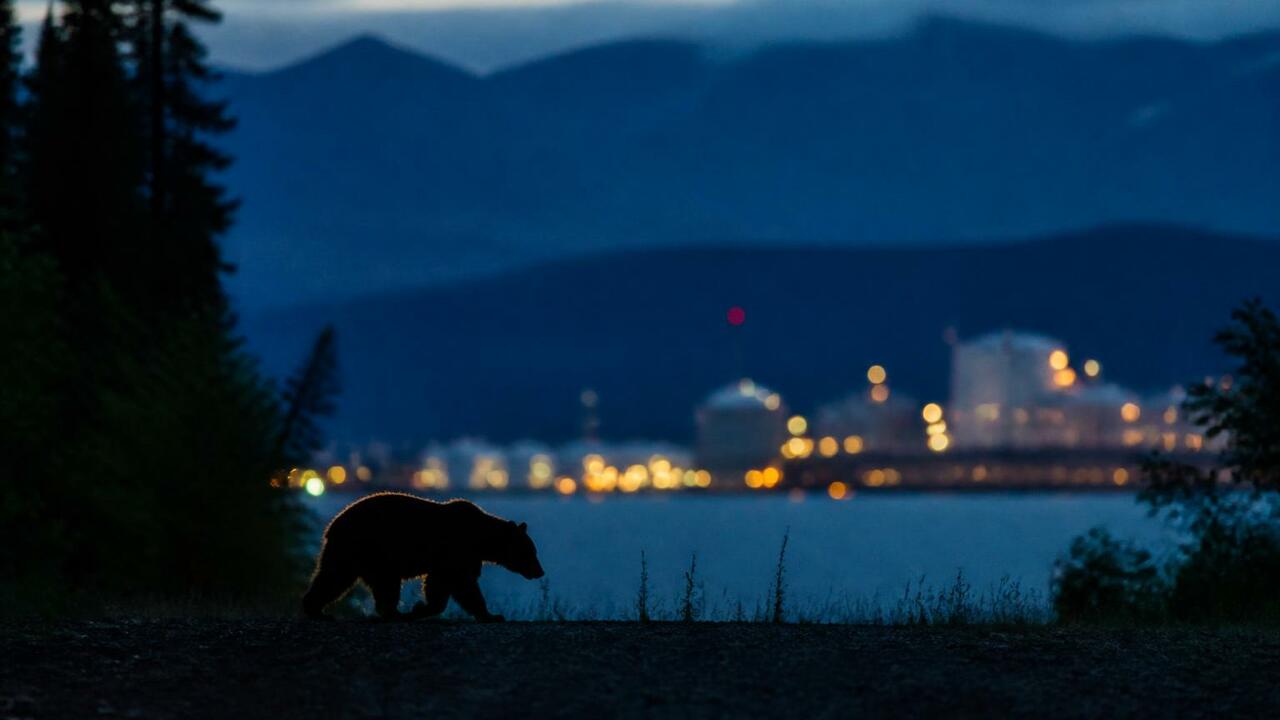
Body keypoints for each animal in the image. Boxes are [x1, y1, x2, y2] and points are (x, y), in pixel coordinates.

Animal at [301, 493, 544, 622]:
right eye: (530, 552)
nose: (540, 571)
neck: (482, 540)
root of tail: (332, 526)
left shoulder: (462, 558)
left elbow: (449, 586)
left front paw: (490, 615)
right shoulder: (457, 552)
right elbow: (459, 584)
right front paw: (420, 608)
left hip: (357, 555)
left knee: (338, 578)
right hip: (367, 549)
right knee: (347, 579)